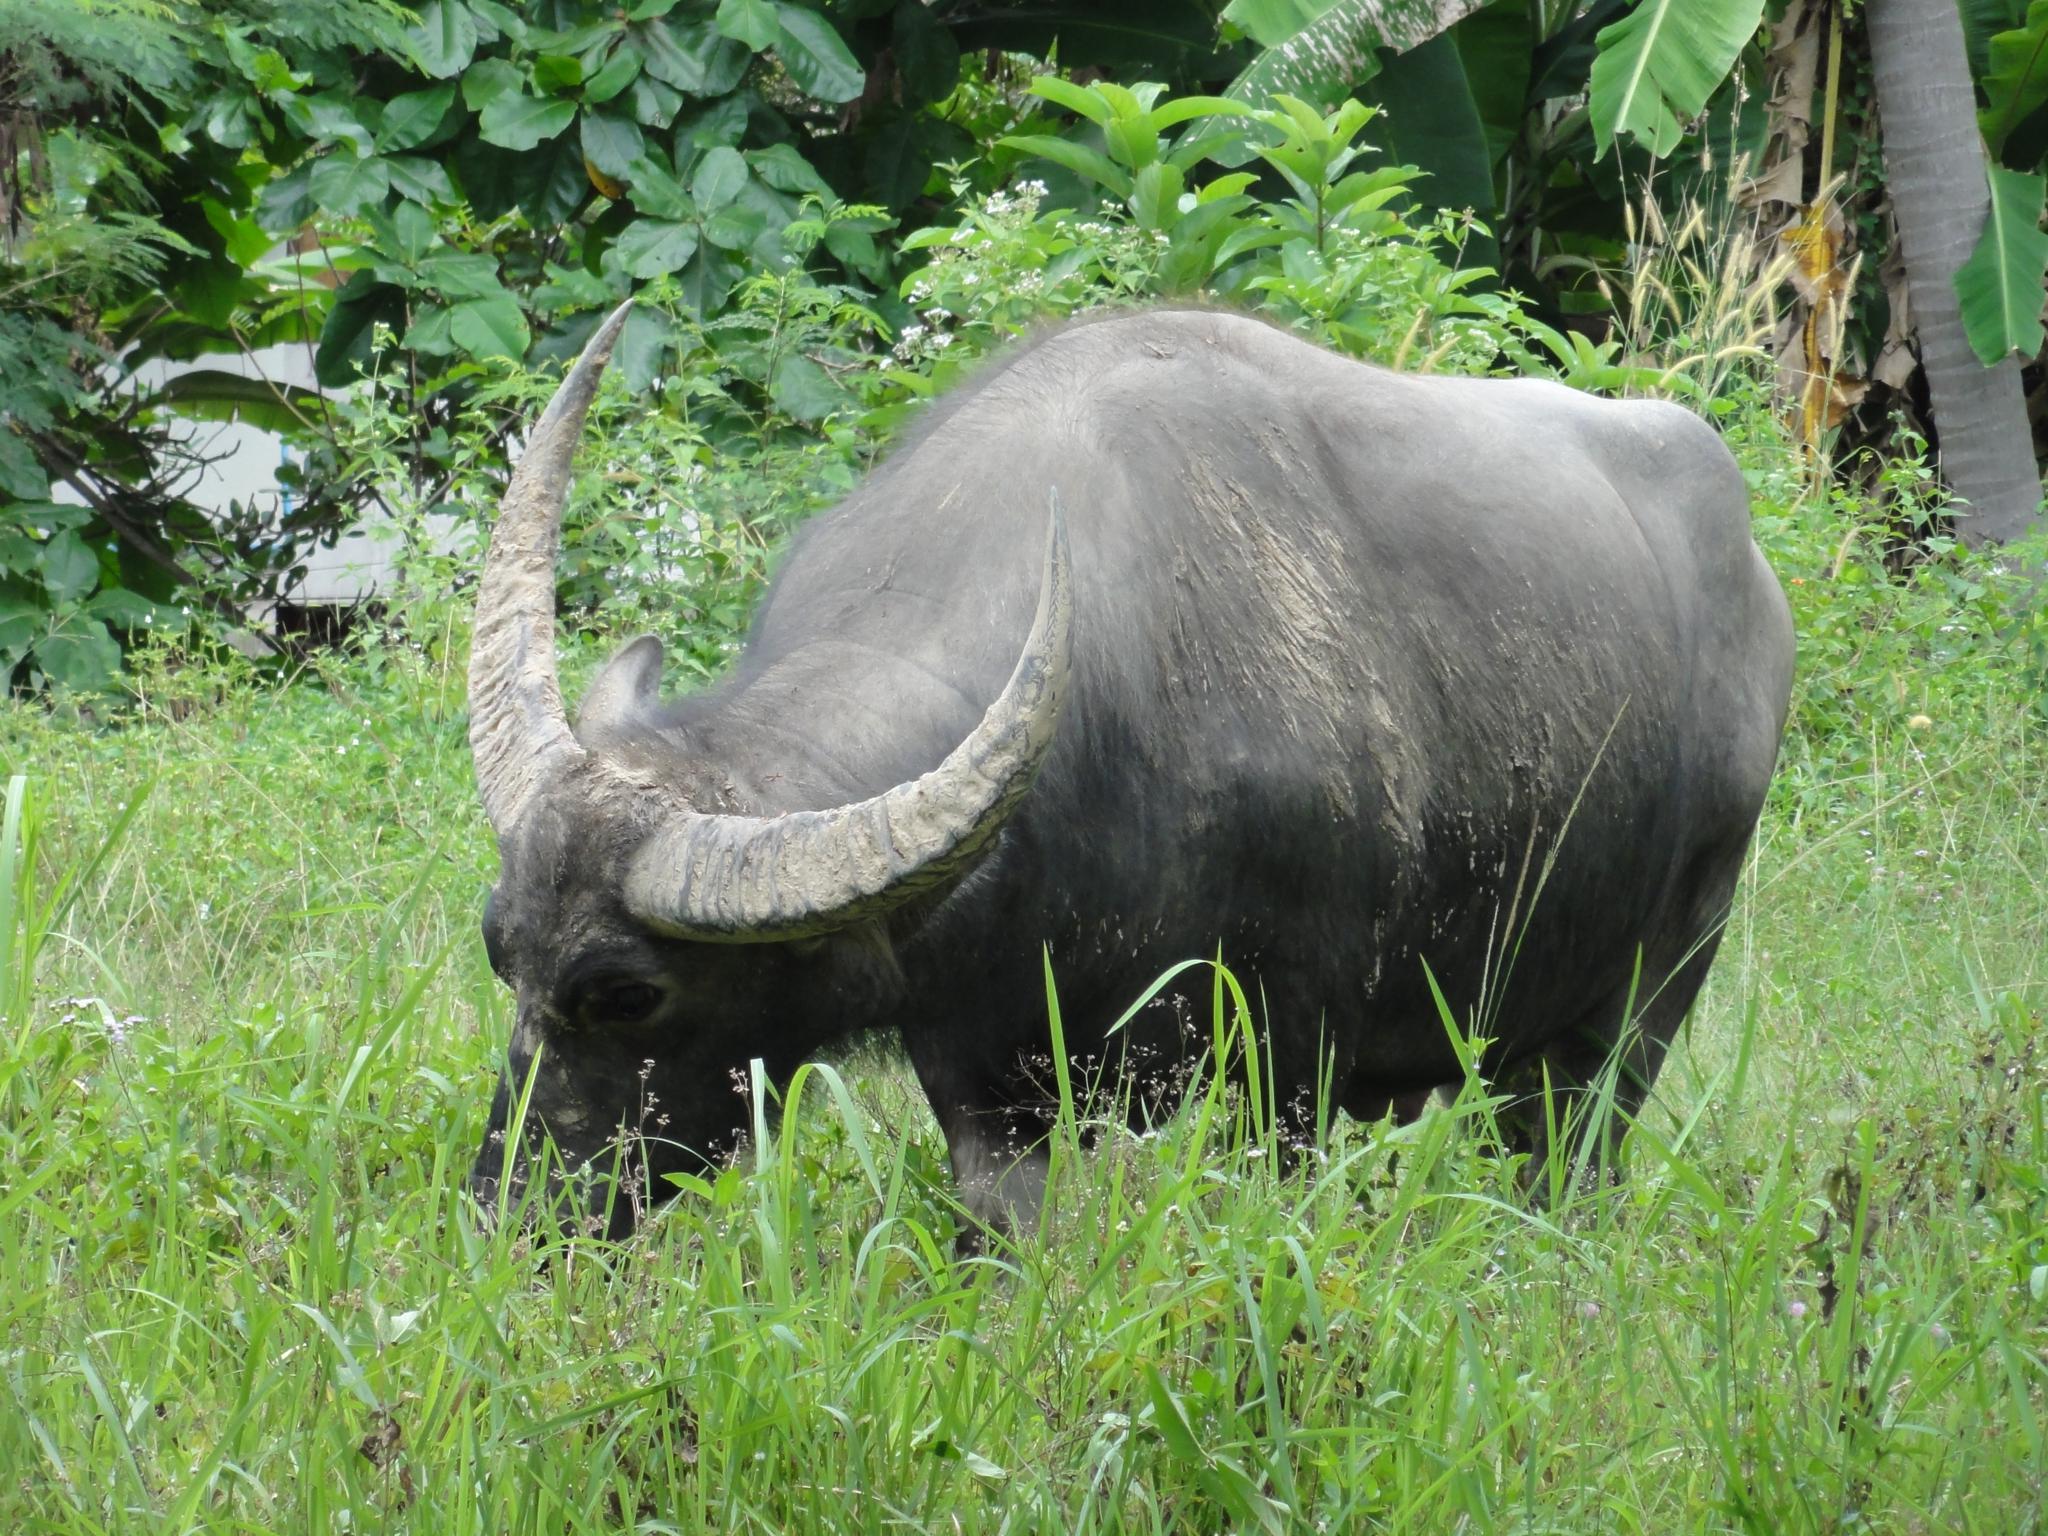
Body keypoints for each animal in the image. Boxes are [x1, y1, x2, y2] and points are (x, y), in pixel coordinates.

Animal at [464, 296, 1794, 1236]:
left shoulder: (1288, 1058)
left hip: (1649, 987)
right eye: (498, 946)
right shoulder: (983, 1081)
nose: (507, 1215)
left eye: (628, 992)